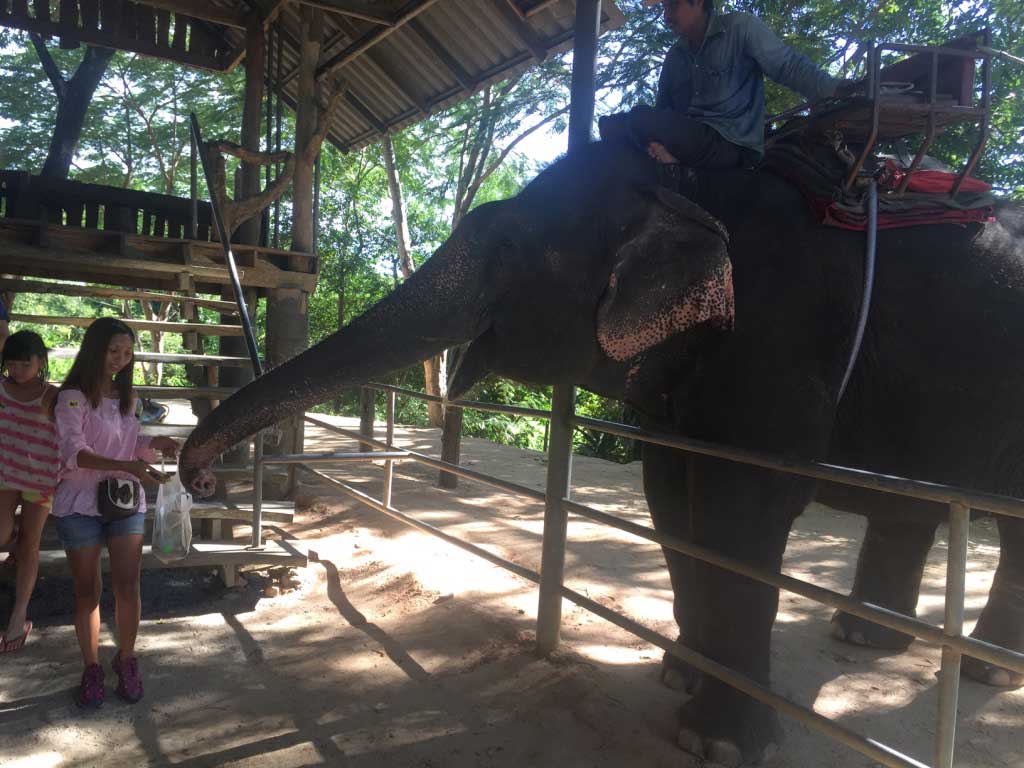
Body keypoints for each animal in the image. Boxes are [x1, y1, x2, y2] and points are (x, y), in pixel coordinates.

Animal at [178, 141, 1024, 765]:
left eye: (511, 249)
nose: (196, 476)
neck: (683, 182)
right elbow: (671, 495)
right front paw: (680, 672)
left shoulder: (779, 334)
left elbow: (740, 509)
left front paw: (715, 741)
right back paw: (869, 638)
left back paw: (979, 665)